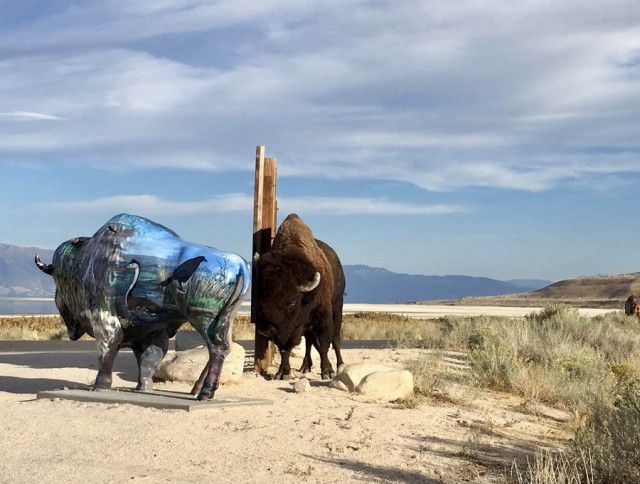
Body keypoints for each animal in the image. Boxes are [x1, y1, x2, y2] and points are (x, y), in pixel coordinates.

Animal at [254, 214, 344, 380]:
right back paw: (305, 366)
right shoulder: (289, 328)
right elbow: (285, 348)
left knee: (335, 339)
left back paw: (339, 365)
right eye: (261, 298)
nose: (265, 330)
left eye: (292, 302)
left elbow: (323, 344)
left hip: (337, 307)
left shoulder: (322, 317)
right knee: (309, 343)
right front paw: (282, 373)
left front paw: (326, 371)